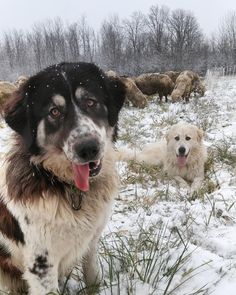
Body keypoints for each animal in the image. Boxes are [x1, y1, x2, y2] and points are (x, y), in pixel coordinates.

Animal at [0, 61, 125, 294]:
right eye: (55, 112)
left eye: (90, 102)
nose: (88, 149)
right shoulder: (41, 265)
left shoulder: (91, 242)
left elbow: (92, 276)